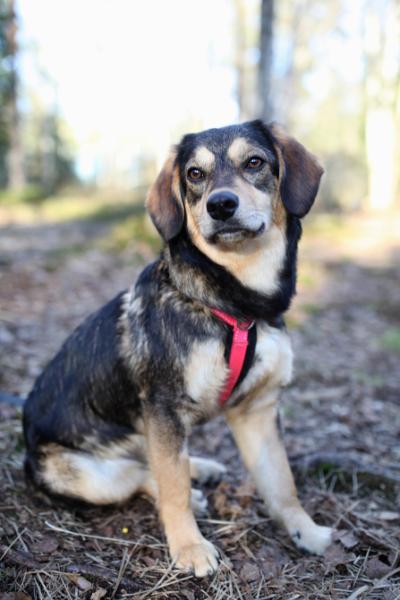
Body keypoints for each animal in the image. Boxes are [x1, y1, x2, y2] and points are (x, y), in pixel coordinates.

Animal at [23, 120, 333, 577]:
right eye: (194, 174)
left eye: (254, 162)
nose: (221, 205)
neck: (238, 306)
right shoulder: (164, 407)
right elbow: (173, 489)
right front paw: (189, 548)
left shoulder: (256, 410)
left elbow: (282, 483)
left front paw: (305, 531)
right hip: (86, 477)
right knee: (144, 474)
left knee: (155, 462)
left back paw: (202, 467)